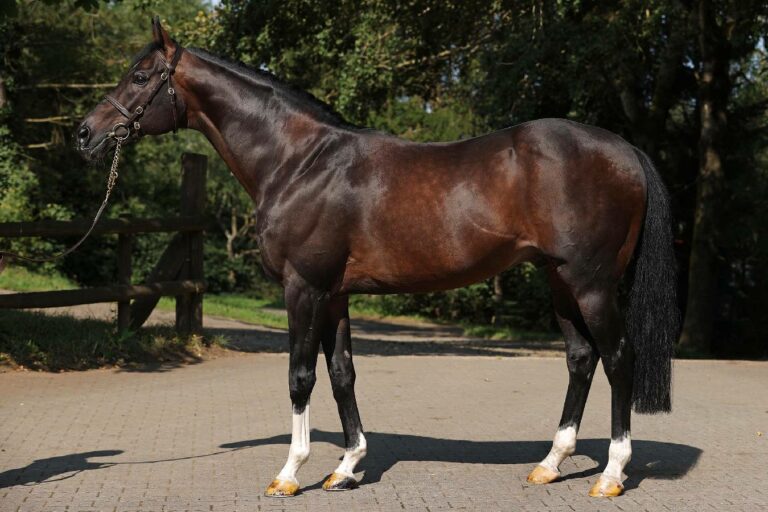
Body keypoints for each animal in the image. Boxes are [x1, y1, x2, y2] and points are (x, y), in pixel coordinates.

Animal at [77, 18, 680, 498]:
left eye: (139, 77)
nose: (86, 133)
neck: (299, 161)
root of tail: (624, 150)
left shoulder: (304, 287)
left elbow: (300, 376)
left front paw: (290, 473)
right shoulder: (336, 294)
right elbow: (342, 373)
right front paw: (345, 468)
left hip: (591, 284)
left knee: (618, 357)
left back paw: (611, 474)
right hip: (558, 280)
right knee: (581, 358)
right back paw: (550, 464)